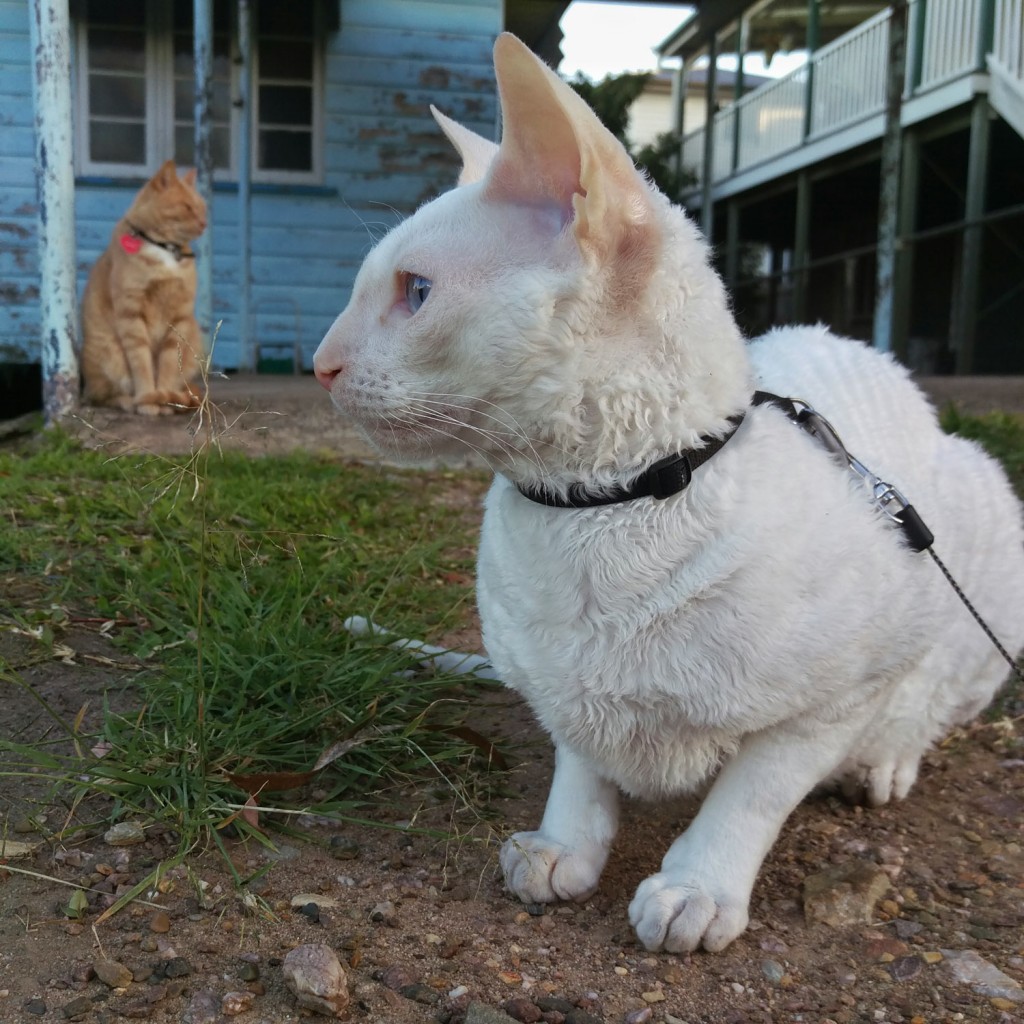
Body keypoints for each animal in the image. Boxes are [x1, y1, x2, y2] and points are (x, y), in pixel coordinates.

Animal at [81, 157, 207, 413]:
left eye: (203, 208)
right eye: (188, 207)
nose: (204, 223)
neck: (164, 249)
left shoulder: (178, 318)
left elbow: (169, 364)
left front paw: (164, 399)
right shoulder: (131, 314)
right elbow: (141, 363)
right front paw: (148, 399)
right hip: (105, 354)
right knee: (100, 396)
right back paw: (129, 401)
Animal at [313, 36, 1024, 954]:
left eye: (416, 292)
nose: (319, 365)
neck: (593, 513)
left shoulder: (848, 689)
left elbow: (756, 787)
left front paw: (699, 886)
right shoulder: (559, 687)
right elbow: (579, 758)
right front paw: (565, 843)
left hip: (982, 530)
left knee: (933, 707)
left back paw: (884, 763)